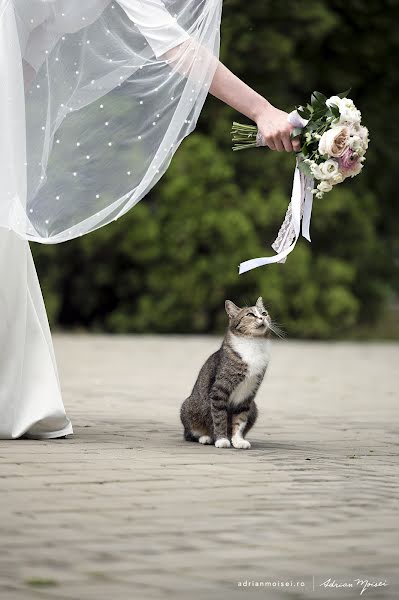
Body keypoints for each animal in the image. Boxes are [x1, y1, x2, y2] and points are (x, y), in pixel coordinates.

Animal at [180, 298, 276, 448]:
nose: (262, 318)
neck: (253, 344)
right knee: (189, 434)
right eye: (250, 314)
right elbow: (219, 418)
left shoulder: (248, 395)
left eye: (264, 313)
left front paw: (237, 440)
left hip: (254, 408)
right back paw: (206, 437)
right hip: (189, 406)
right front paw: (221, 440)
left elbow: (240, 420)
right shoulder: (219, 390)